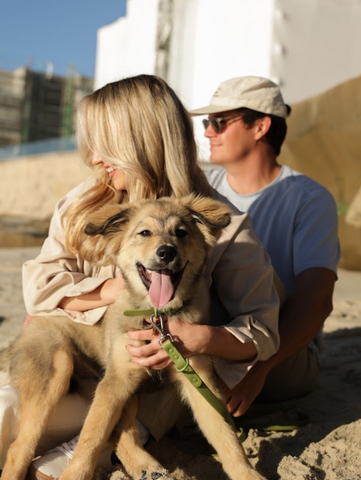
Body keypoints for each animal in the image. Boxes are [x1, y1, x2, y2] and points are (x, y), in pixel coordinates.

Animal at [0, 195, 264, 480]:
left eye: (181, 232)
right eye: (144, 233)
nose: (167, 252)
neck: (157, 318)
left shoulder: (197, 376)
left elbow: (226, 435)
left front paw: (247, 474)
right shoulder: (116, 380)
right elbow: (91, 436)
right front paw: (75, 474)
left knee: (119, 431)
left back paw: (146, 465)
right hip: (58, 370)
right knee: (20, 448)